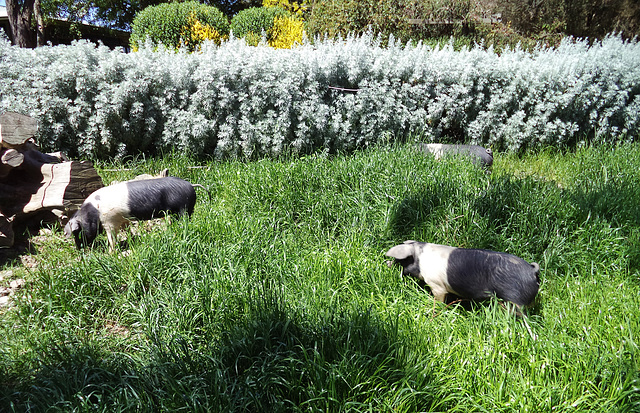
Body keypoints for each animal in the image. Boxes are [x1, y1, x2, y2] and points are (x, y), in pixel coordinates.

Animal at [65, 175, 199, 249]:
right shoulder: (123, 219)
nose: (78, 248)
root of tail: (191, 185)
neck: (95, 210)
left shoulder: (109, 220)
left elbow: (112, 238)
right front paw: (133, 239)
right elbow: (128, 230)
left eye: (77, 231)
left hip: (183, 208)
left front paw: (110, 252)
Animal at [384, 240, 540, 310]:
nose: (387, 263)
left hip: (515, 299)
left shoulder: (437, 285)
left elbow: (438, 298)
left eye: (400, 260)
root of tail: (532, 271)